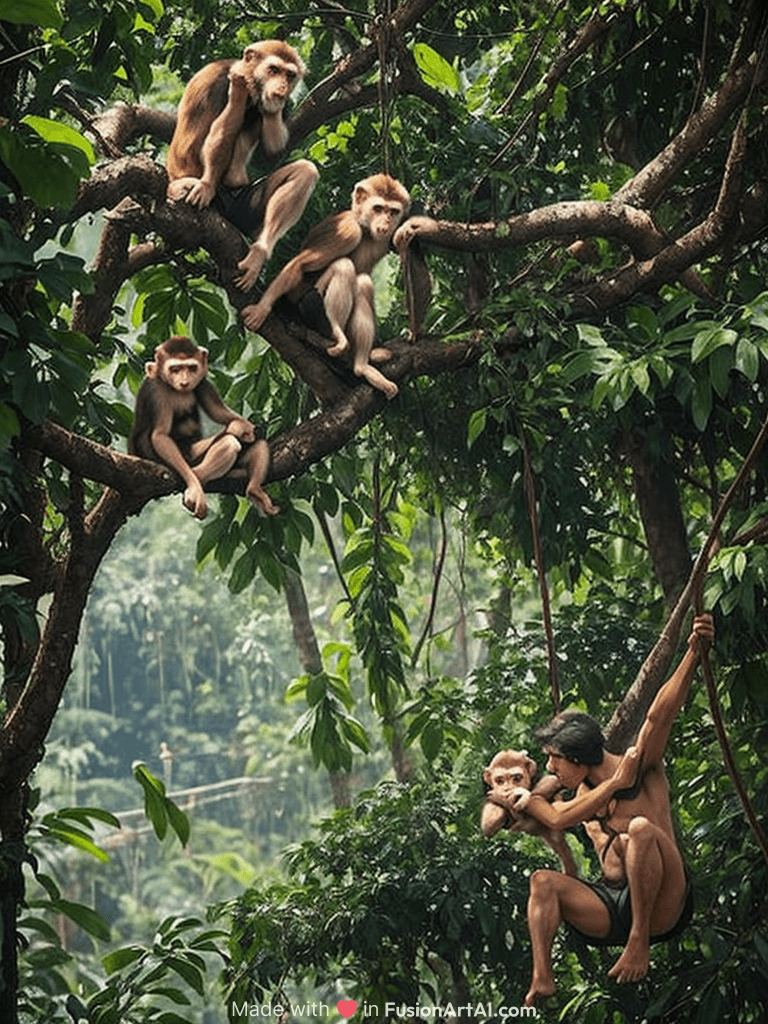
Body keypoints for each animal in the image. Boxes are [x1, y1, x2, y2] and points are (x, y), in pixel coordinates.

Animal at [129, 335, 279, 520]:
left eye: (192, 368)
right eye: (175, 369)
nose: (184, 381)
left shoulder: (201, 382)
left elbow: (221, 413)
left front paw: (243, 426)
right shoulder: (157, 391)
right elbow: (160, 436)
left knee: (257, 444)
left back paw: (254, 490)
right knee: (229, 443)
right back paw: (197, 479)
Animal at [166, 40, 318, 291]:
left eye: (289, 74)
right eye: (273, 70)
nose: (282, 85)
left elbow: (271, 156)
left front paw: (270, 108)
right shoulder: (217, 82)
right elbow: (211, 137)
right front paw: (206, 184)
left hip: (244, 208)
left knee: (305, 171)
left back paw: (259, 252)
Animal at [240, 174, 412, 400]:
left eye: (393, 212)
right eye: (378, 208)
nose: (386, 222)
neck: (364, 228)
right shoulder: (348, 231)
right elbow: (300, 264)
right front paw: (262, 308)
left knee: (363, 283)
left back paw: (362, 364)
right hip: (305, 310)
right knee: (343, 267)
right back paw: (337, 338)